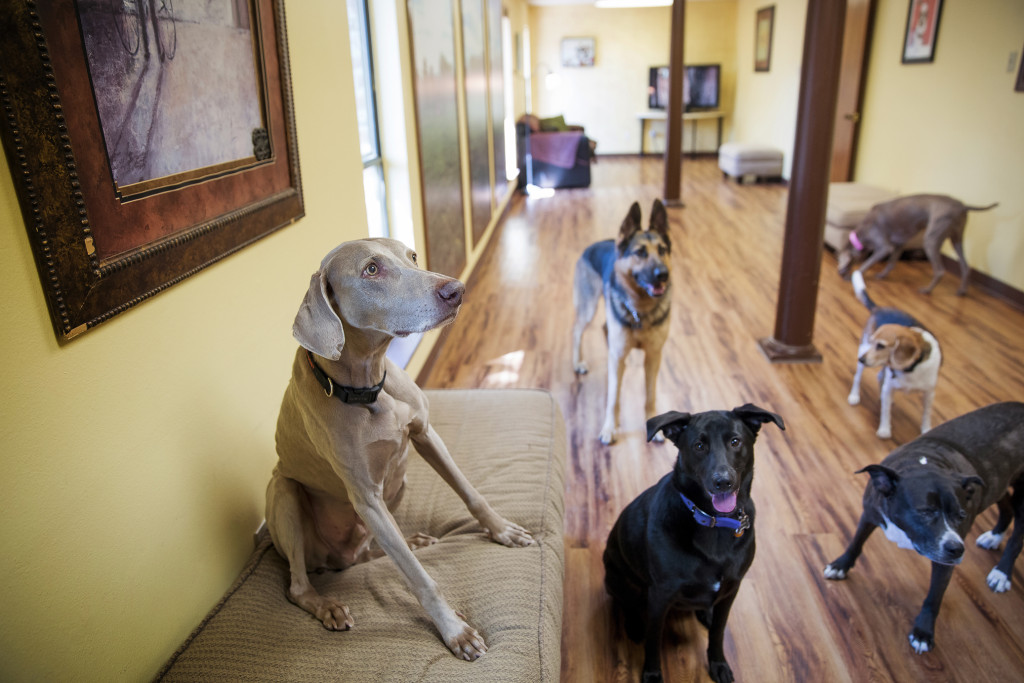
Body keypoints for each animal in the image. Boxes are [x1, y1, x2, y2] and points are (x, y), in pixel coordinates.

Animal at [264, 239, 536, 663]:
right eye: (371, 270)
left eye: (412, 256)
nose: (456, 289)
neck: (367, 389)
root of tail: (336, 560)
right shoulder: (368, 499)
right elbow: (418, 577)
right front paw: (454, 630)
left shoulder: (426, 434)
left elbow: (470, 492)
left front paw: (502, 529)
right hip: (283, 492)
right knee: (297, 586)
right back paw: (327, 606)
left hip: (399, 480)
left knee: (371, 551)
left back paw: (413, 541)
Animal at [606, 403, 782, 679]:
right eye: (699, 446)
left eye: (735, 441)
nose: (723, 481)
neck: (714, 522)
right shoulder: (660, 595)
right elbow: (653, 639)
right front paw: (652, 673)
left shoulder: (732, 588)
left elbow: (718, 632)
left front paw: (718, 663)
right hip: (619, 578)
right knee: (628, 604)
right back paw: (634, 625)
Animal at [823, 403, 1024, 655]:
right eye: (926, 512)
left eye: (961, 516)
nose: (957, 549)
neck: (927, 463)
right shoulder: (870, 513)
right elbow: (856, 542)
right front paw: (840, 566)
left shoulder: (944, 560)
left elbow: (933, 597)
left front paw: (923, 633)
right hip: (999, 486)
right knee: (1006, 507)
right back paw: (994, 537)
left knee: (1018, 535)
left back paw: (1002, 572)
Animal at [835, 194, 995, 296]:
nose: (839, 274)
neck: (862, 233)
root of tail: (962, 205)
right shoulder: (899, 244)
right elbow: (891, 263)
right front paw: (882, 275)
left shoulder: (885, 247)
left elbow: (867, 264)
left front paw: (855, 275)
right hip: (957, 239)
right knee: (965, 266)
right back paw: (962, 291)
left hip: (931, 238)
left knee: (940, 270)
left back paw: (927, 290)